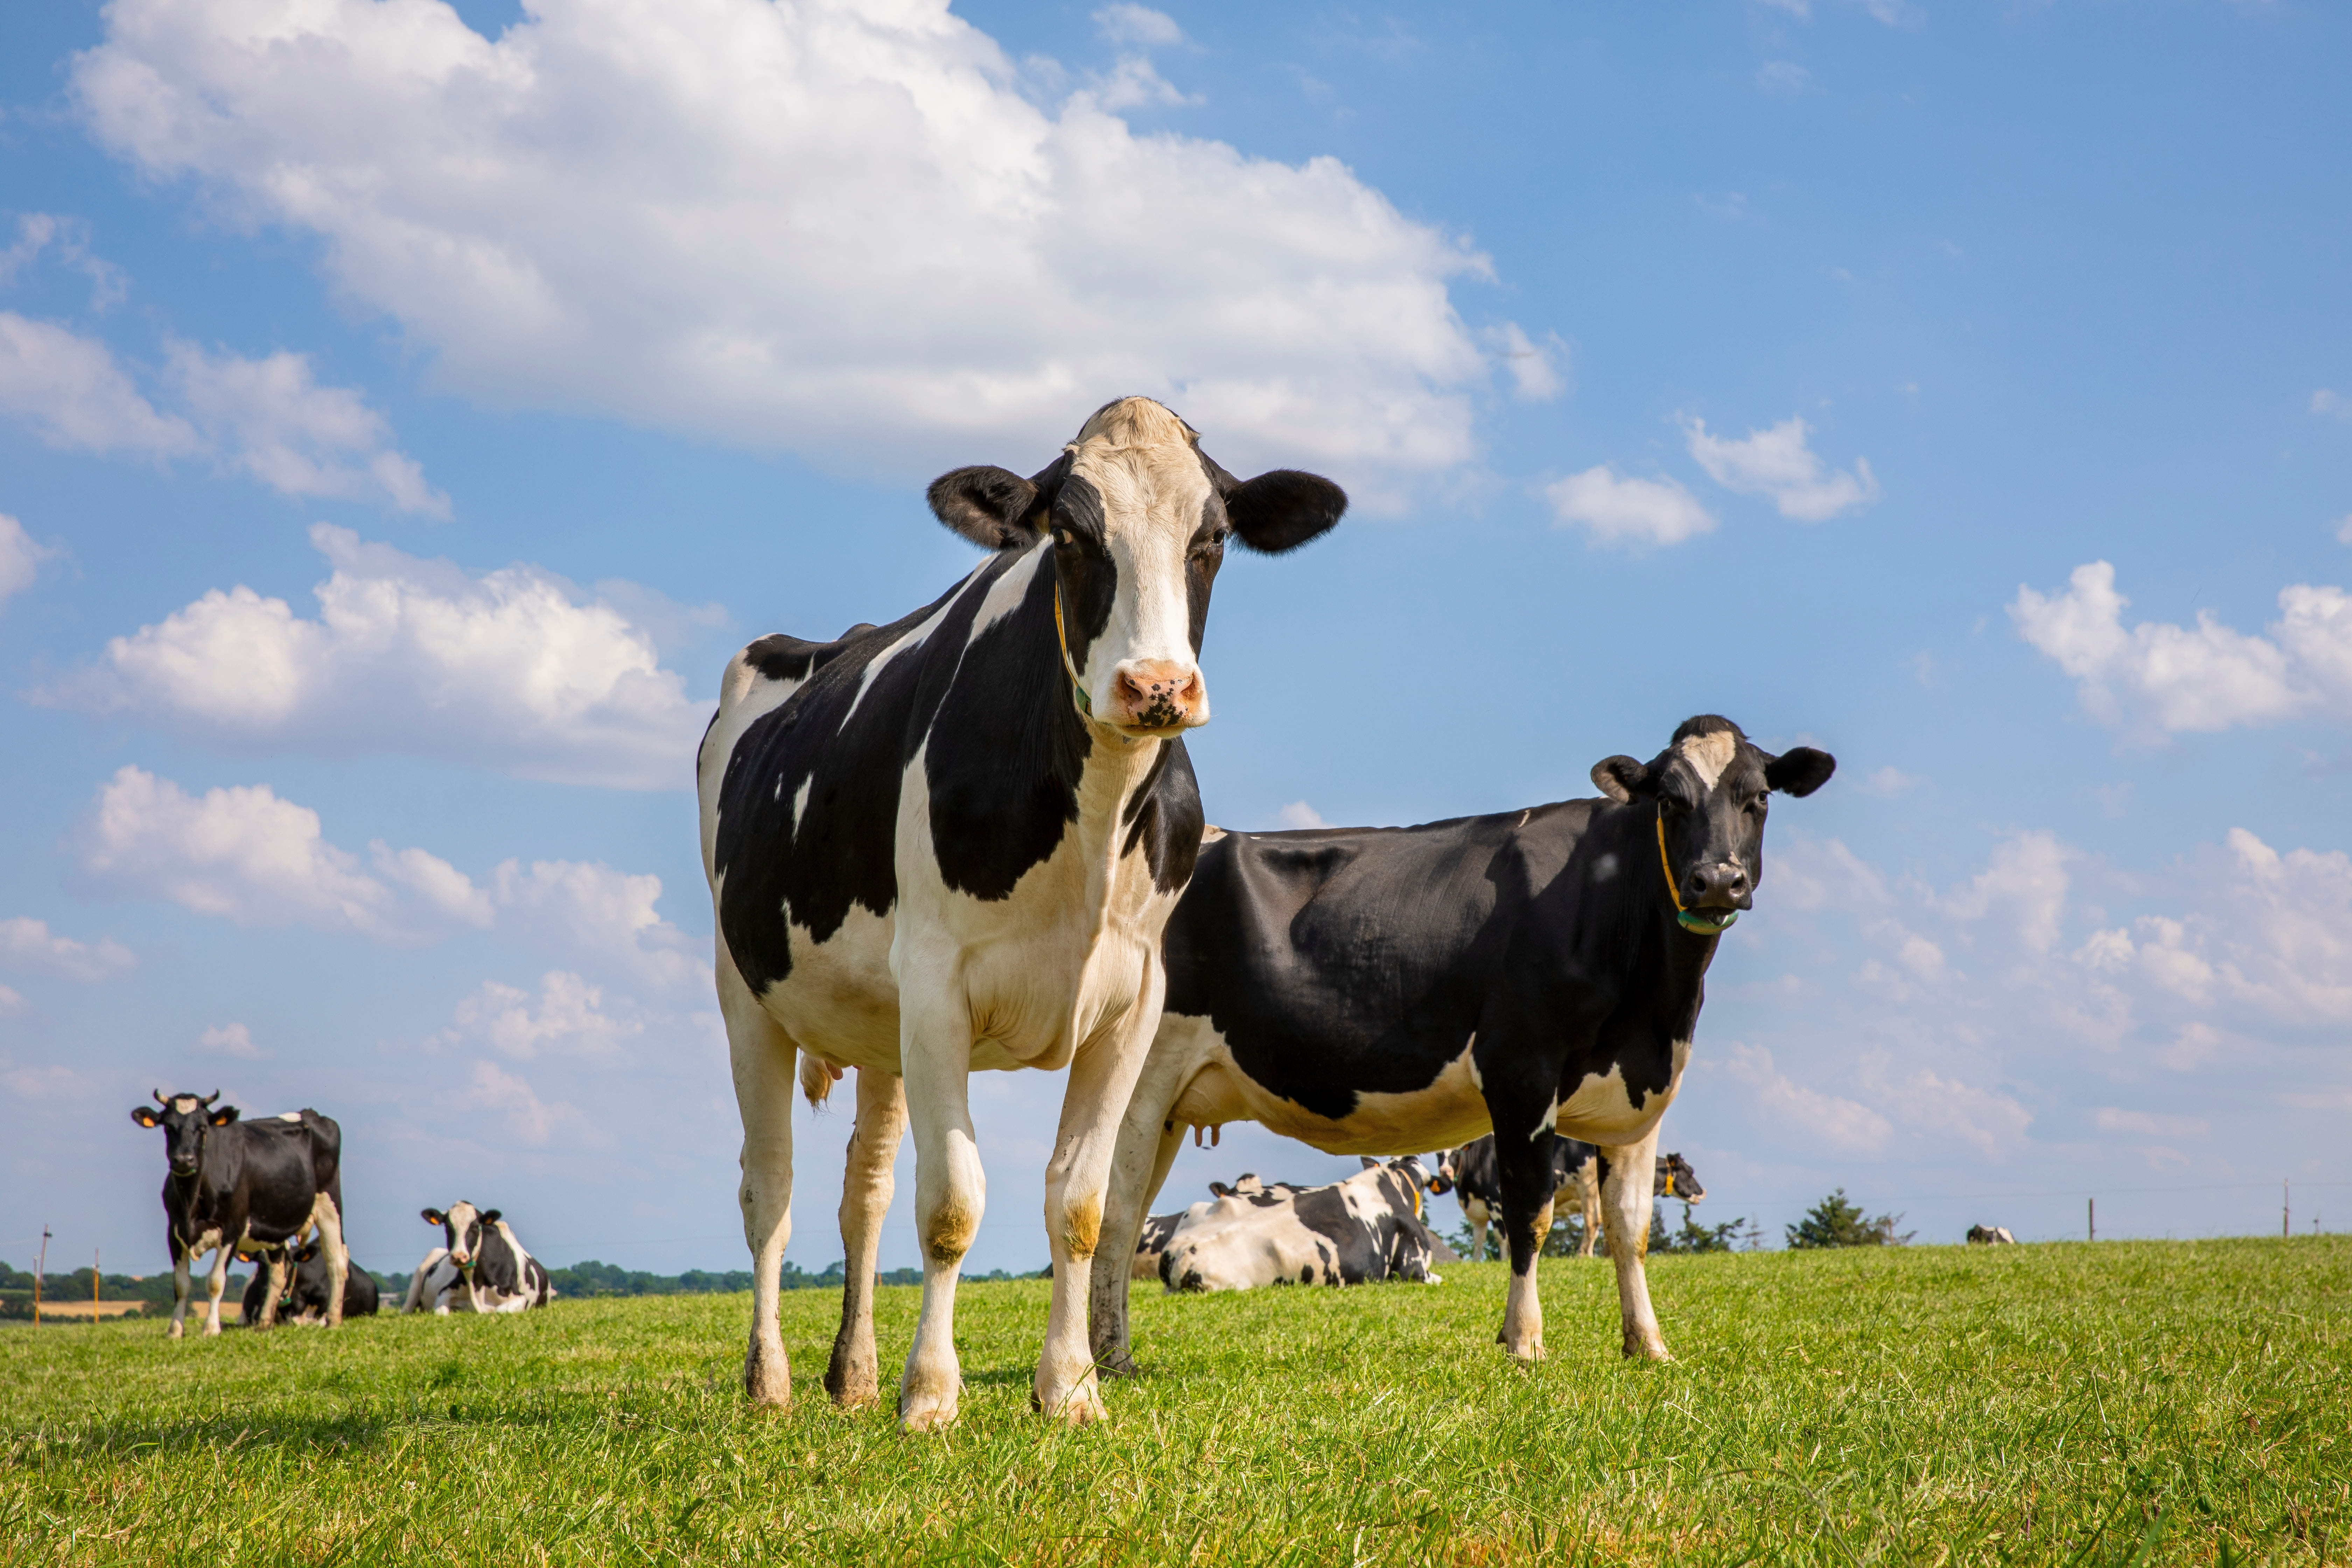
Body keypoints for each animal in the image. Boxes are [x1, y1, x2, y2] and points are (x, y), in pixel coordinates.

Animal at [129, 1090, 348, 1336]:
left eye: (203, 1127)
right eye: (168, 1126)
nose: (184, 1160)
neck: (192, 1202)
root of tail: (311, 1114)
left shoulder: (232, 1230)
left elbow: (216, 1281)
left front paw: (211, 1329)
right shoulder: (174, 1232)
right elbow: (181, 1284)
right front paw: (175, 1331)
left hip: (330, 1206)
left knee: (337, 1262)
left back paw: (334, 1320)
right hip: (273, 1228)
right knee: (278, 1273)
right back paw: (264, 1323)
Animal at [401, 1202, 554, 1314]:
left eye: (475, 1227)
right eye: (448, 1227)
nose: (459, 1256)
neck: (477, 1283)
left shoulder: (521, 1298)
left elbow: (500, 1310)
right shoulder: (444, 1293)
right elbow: (441, 1312)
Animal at [699, 396, 1344, 1429]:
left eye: (1212, 540)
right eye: (1070, 537)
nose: (1155, 686)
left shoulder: (1134, 1002)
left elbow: (1080, 1204)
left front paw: (1071, 1388)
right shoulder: (938, 989)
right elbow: (951, 1205)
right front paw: (932, 1396)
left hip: (879, 1027)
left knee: (860, 1192)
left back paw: (855, 1377)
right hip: (745, 993)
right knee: (771, 1191)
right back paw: (772, 1383)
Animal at [1439, 1137, 1705, 1262]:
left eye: (1455, 1154)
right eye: (1439, 1155)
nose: (1445, 1171)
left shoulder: (1495, 1202)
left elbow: (1501, 1237)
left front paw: (1503, 1261)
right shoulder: (1478, 1212)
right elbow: (1479, 1241)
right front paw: (1476, 1263)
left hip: (1588, 1188)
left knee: (1592, 1223)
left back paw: (1584, 1255)